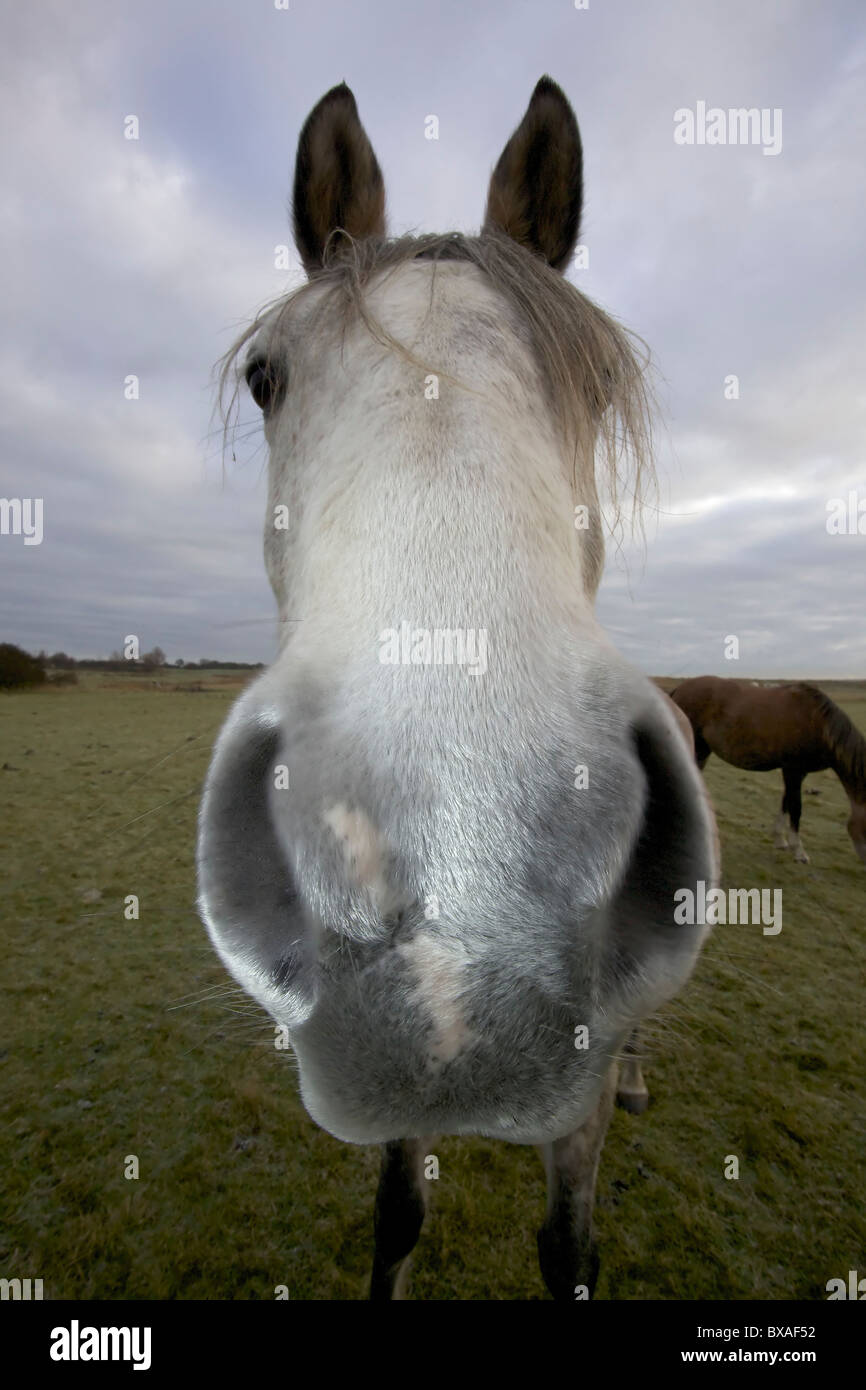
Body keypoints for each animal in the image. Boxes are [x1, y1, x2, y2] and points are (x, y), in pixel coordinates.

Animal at [197, 77, 718, 1301]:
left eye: (598, 380)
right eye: (265, 375)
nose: (465, 864)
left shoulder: (577, 1107)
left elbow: (569, 1247)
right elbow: (398, 1214)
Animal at [671, 676, 866, 865]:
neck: (817, 724)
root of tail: (679, 689)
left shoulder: (796, 773)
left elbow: (785, 802)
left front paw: (780, 840)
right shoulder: (793, 771)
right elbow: (796, 808)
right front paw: (799, 852)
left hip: (703, 750)